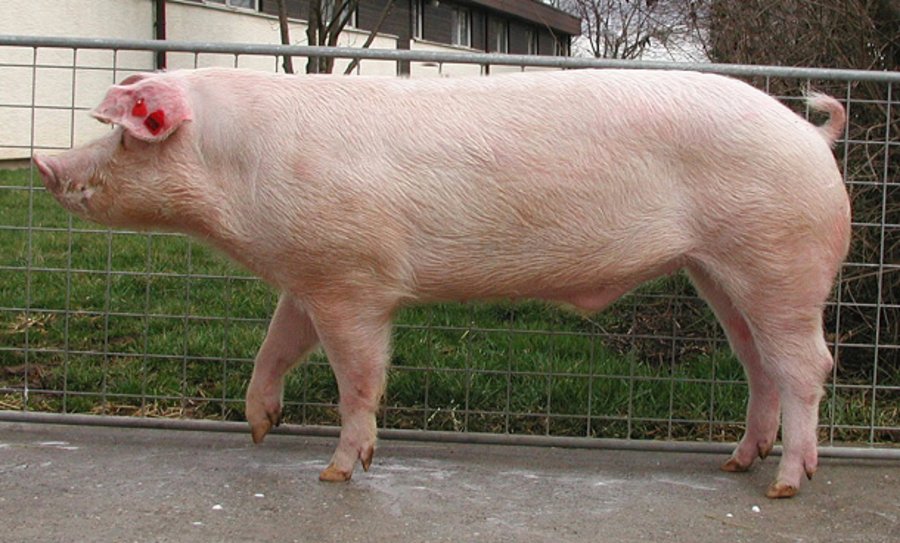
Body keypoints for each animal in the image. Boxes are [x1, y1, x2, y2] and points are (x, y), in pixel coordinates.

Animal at [33, 67, 851, 499]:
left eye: (123, 137)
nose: (42, 165)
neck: (241, 170)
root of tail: (812, 133)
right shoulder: (308, 273)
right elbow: (276, 344)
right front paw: (261, 425)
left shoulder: (353, 279)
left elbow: (358, 377)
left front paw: (337, 472)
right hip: (716, 270)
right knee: (758, 365)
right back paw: (736, 462)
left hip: (780, 259)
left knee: (808, 366)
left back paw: (785, 484)